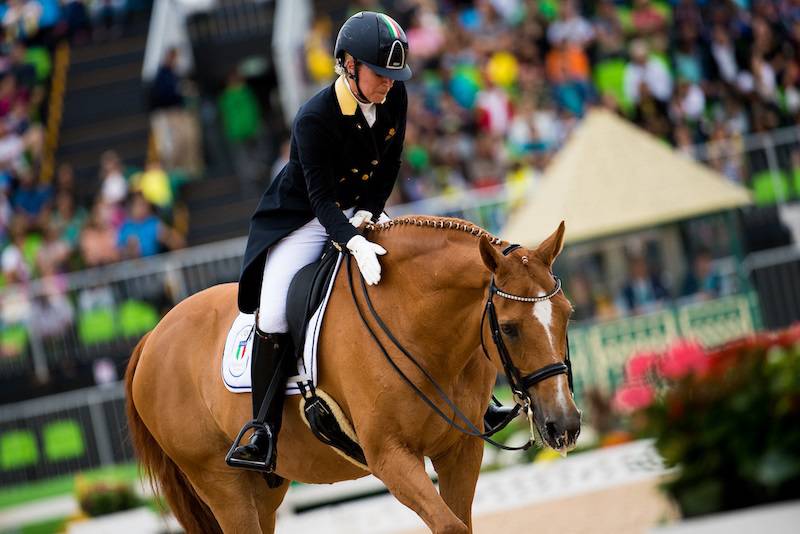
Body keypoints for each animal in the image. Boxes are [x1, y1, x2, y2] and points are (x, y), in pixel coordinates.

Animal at [123, 217, 580, 534]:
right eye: (510, 328)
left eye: (568, 314)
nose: (565, 425)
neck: (418, 326)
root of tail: (153, 335)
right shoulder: (390, 457)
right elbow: (449, 525)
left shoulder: (460, 450)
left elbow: (461, 524)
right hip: (221, 482)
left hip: (263, 487)